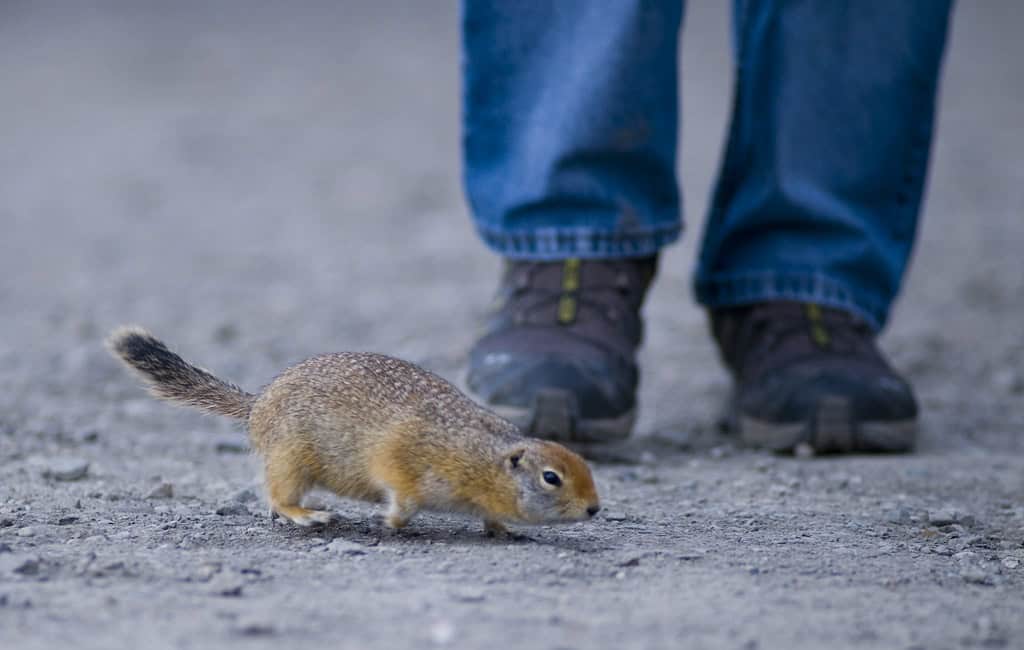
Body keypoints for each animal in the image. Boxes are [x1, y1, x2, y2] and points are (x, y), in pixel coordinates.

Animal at [106, 326, 601, 535]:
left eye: (586, 465)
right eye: (551, 478)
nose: (595, 509)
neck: (483, 457)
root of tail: (257, 405)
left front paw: (503, 530)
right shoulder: (405, 459)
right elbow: (402, 498)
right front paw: (392, 522)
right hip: (290, 459)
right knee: (277, 496)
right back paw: (307, 514)